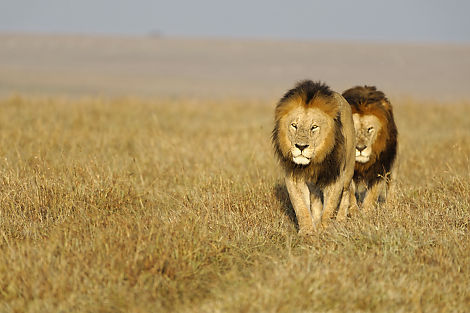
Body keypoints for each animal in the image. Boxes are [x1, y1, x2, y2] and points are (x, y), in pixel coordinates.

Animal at [274, 80, 354, 234]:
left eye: (314, 127)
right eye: (294, 125)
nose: (301, 147)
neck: (314, 162)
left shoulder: (335, 175)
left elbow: (330, 206)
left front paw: (325, 230)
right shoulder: (294, 176)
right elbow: (301, 206)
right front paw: (308, 231)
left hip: (348, 170)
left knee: (346, 193)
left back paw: (340, 221)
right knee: (315, 198)